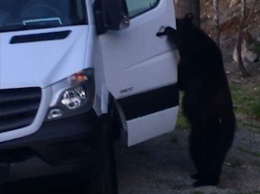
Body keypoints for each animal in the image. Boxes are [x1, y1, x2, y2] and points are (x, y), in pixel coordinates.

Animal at [156, 13, 236, 186]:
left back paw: (207, 180)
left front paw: (171, 31)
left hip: (216, 128)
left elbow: (184, 75)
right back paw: (199, 175)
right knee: (196, 150)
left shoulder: (198, 62)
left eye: (176, 22)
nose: (165, 27)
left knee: (214, 154)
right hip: (198, 132)